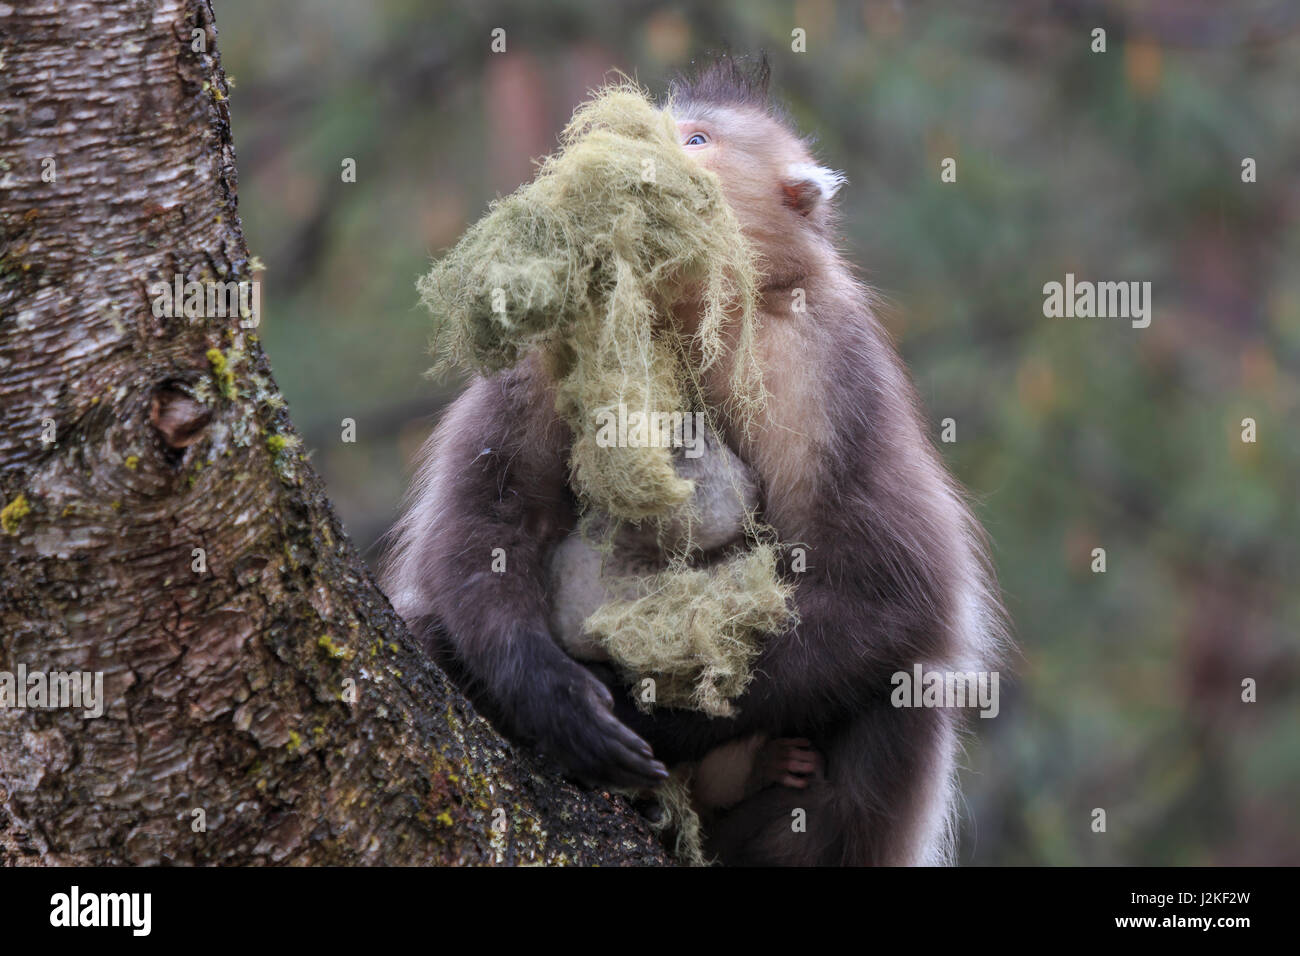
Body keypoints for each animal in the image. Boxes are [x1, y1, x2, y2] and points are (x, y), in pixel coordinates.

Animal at [379, 59, 1008, 868]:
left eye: (698, 139)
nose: (645, 156)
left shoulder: (828, 360)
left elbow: (892, 593)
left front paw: (654, 718)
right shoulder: (552, 343)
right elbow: (486, 521)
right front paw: (549, 694)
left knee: (906, 688)